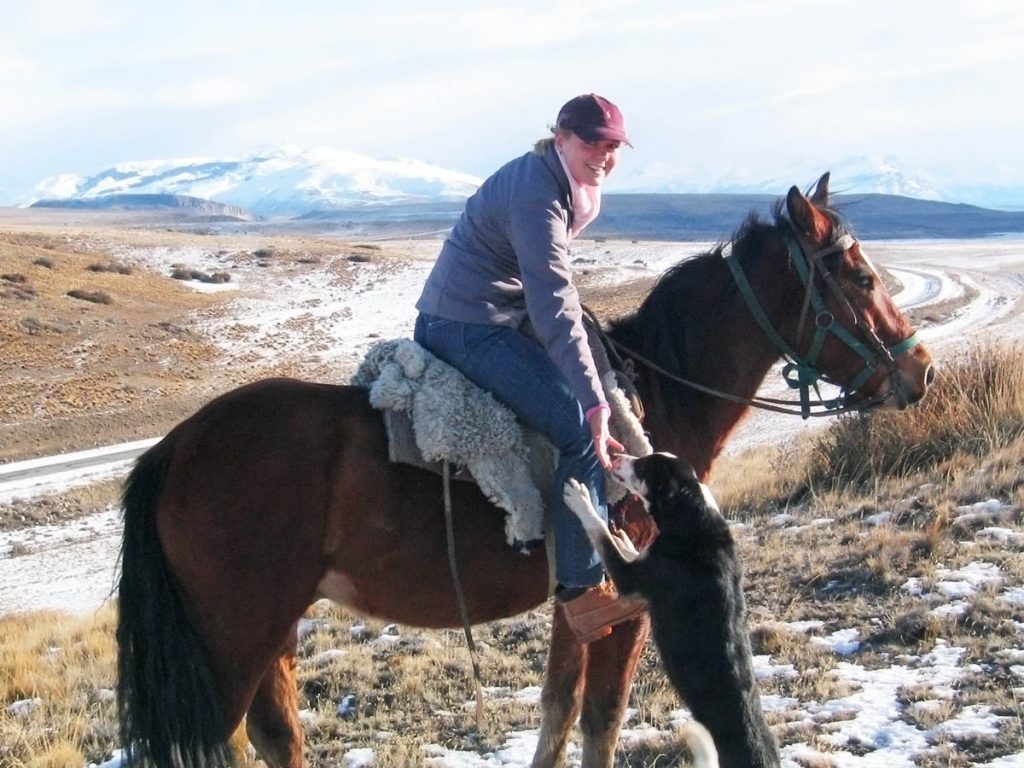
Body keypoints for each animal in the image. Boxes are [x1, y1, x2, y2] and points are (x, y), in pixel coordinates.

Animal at [565, 450, 778, 768]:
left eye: (642, 466)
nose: (616, 455)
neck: (693, 518)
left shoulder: (630, 581)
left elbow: (601, 533)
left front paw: (581, 499)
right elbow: (625, 547)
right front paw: (624, 536)